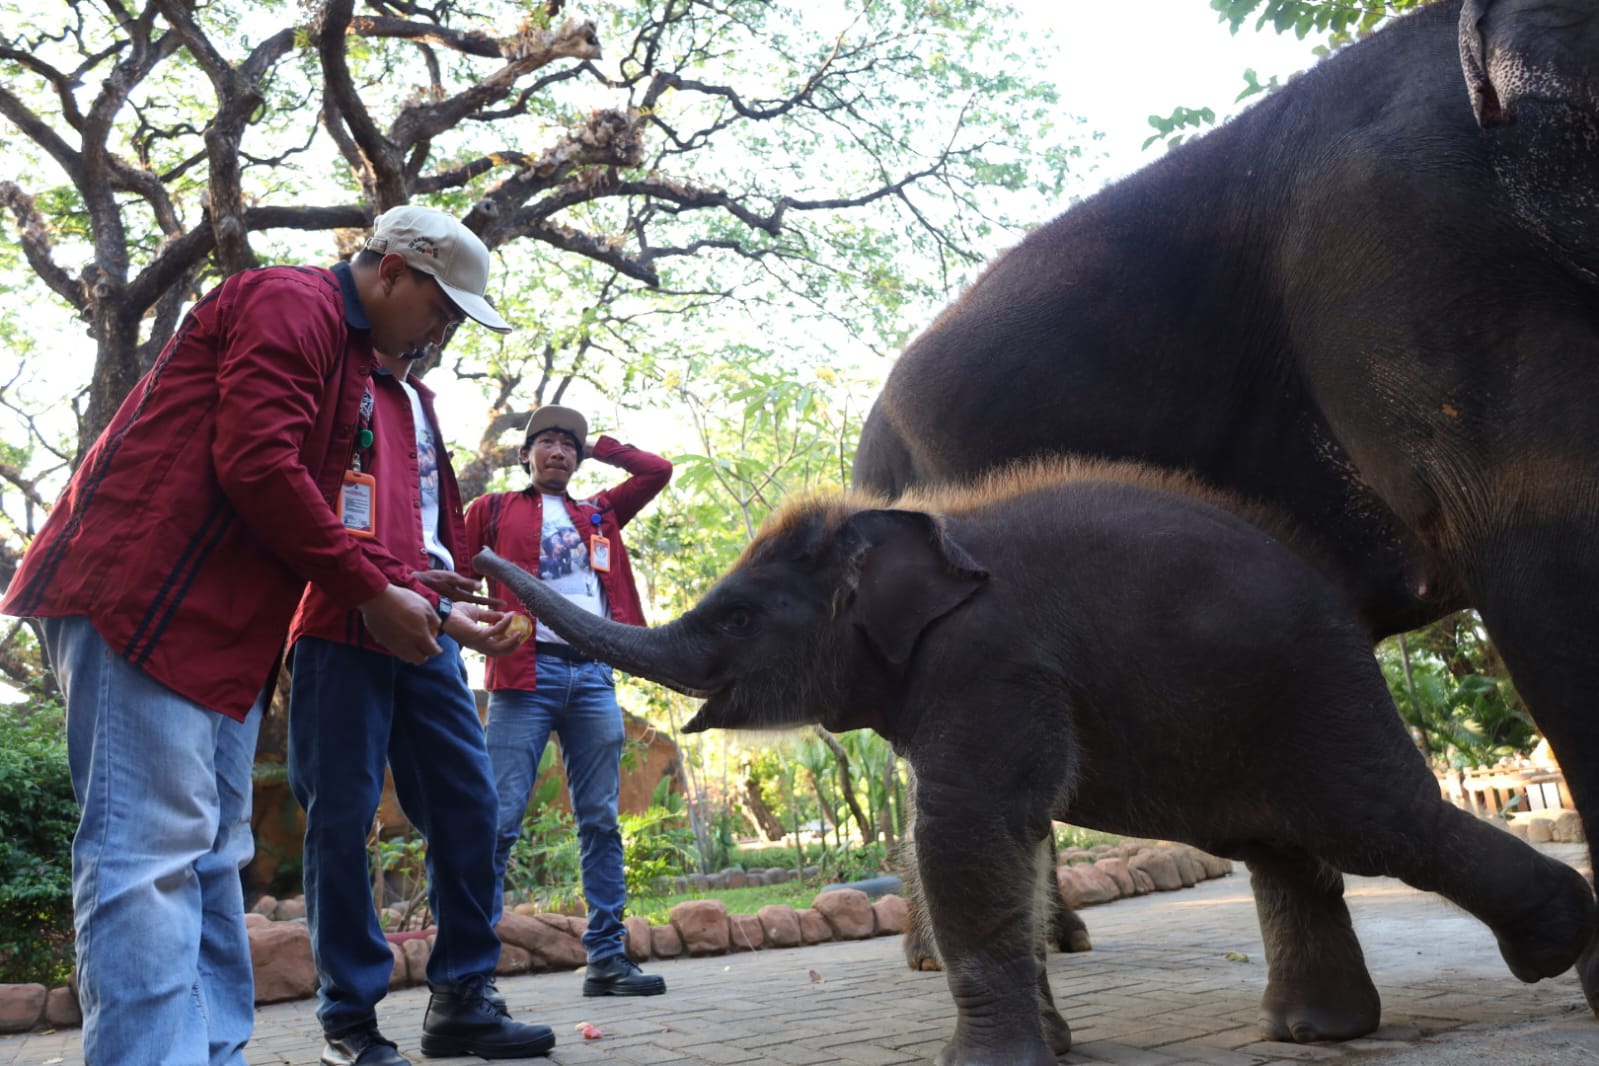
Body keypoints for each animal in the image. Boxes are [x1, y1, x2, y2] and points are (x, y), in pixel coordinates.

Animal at [476, 460, 1599, 1066]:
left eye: (741, 617)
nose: (470, 559)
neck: (908, 527)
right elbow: (995, 839)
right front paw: (1049, 1046)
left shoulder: (993, 658)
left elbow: (967, 829)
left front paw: (992, 1062)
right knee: (1282, 843)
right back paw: (1315, 1032)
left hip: (1313, 690)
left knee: (1372, 822)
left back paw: (1559, 947)